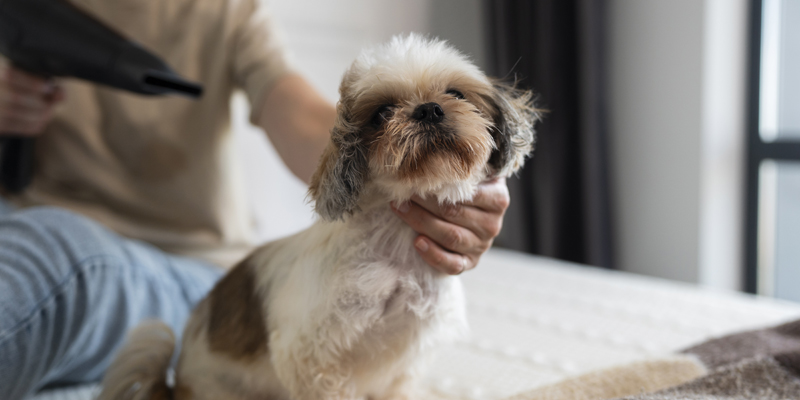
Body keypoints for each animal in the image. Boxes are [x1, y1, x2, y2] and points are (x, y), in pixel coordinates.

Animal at [98, 34, 536, 400]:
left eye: (455, 93)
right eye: (382, 113)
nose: (429, 110)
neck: (397, 249)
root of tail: (176, 384)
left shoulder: (403, 364)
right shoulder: (311, 359)